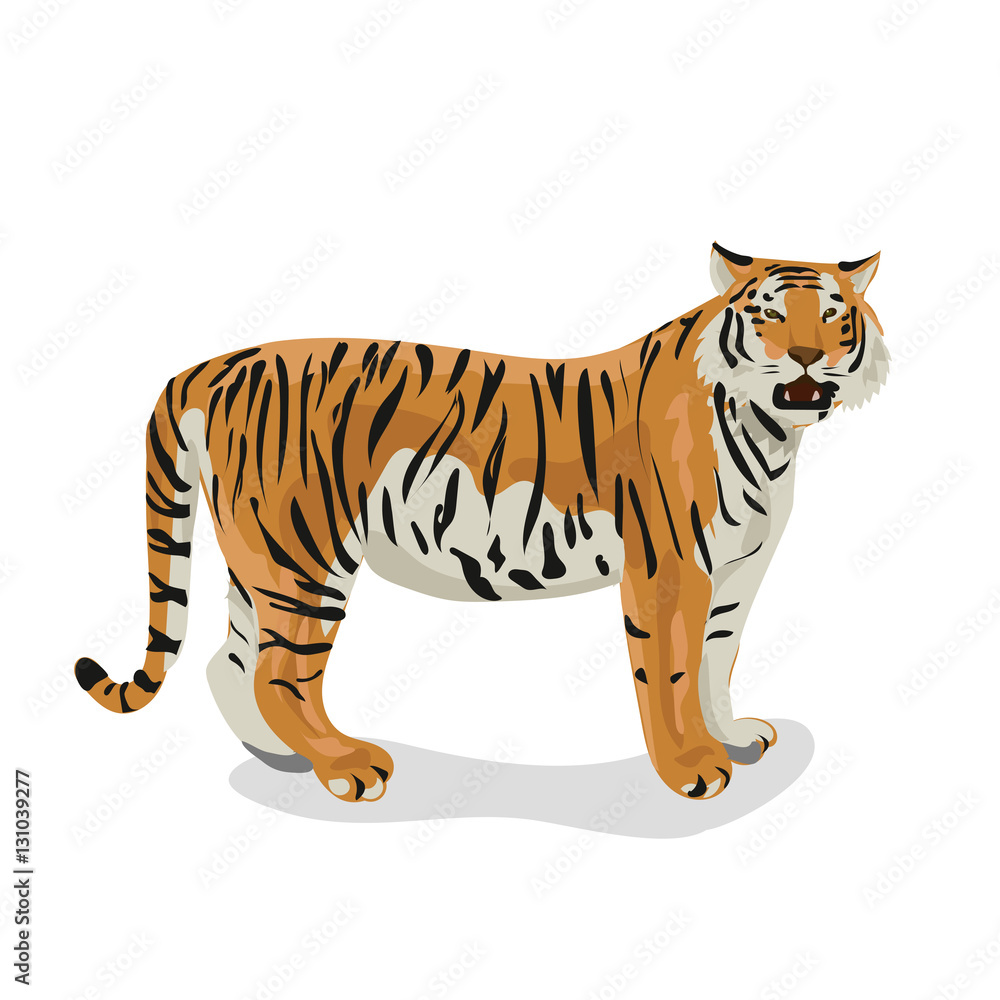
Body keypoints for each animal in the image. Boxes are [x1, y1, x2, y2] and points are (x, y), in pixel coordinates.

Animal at [74, 243, 887, 802]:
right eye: (770, 315)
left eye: (834, 315)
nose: (808, 355)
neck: (771, 435)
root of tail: (208, 367)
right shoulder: (671, 568)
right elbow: (674, 670)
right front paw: (691, 769)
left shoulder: (738, 572)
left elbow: (720, 659)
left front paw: (734, 737)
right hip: (304, 555)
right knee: (279, 673)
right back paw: (347, 766)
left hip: (263, 559)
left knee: (231, 660)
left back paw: (283, 757)